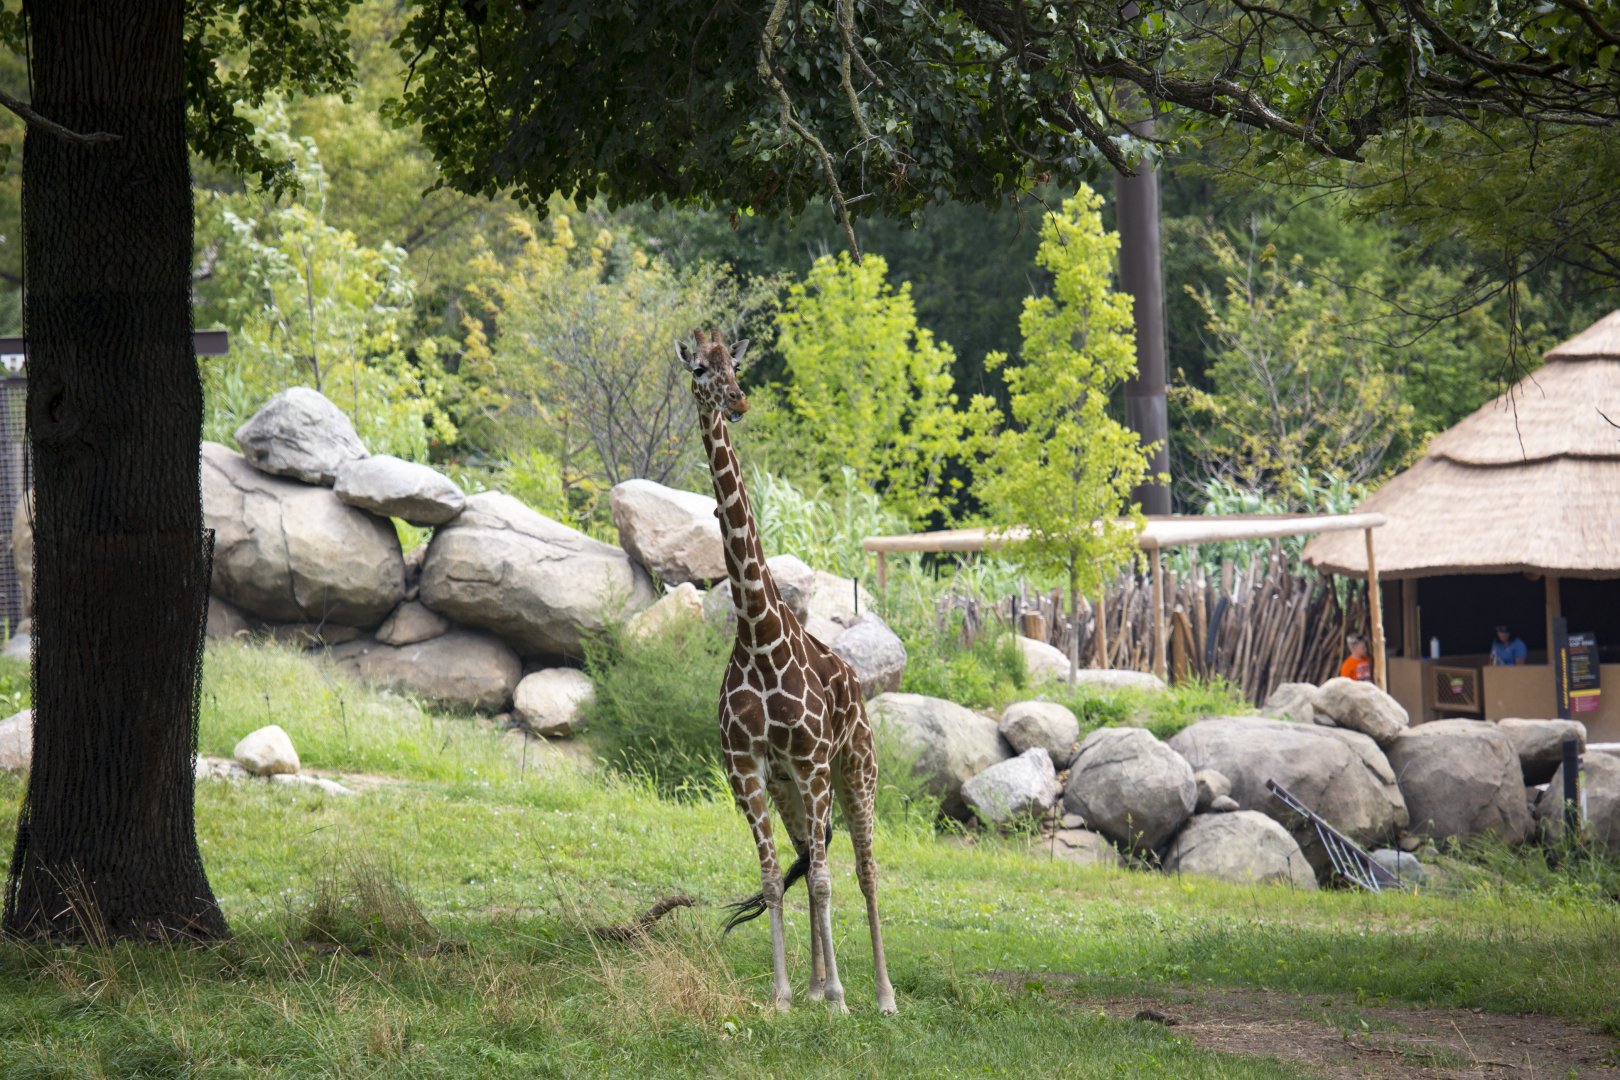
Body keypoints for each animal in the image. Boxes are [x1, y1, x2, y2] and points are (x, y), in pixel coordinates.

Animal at [676, 327, 897, 1015]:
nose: (738, 401)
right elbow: (775, 879)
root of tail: (856, 683)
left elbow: (824, 880)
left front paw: (845, 1000)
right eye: (699, 369)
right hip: (791, 789)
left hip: (855, 770)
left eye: (736, 364)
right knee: (810, 857)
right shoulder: (748, 767)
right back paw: (816, 983)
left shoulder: (812, 760)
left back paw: (881, 995)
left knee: (863, 869)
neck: (757, 631)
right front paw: (783, 997)